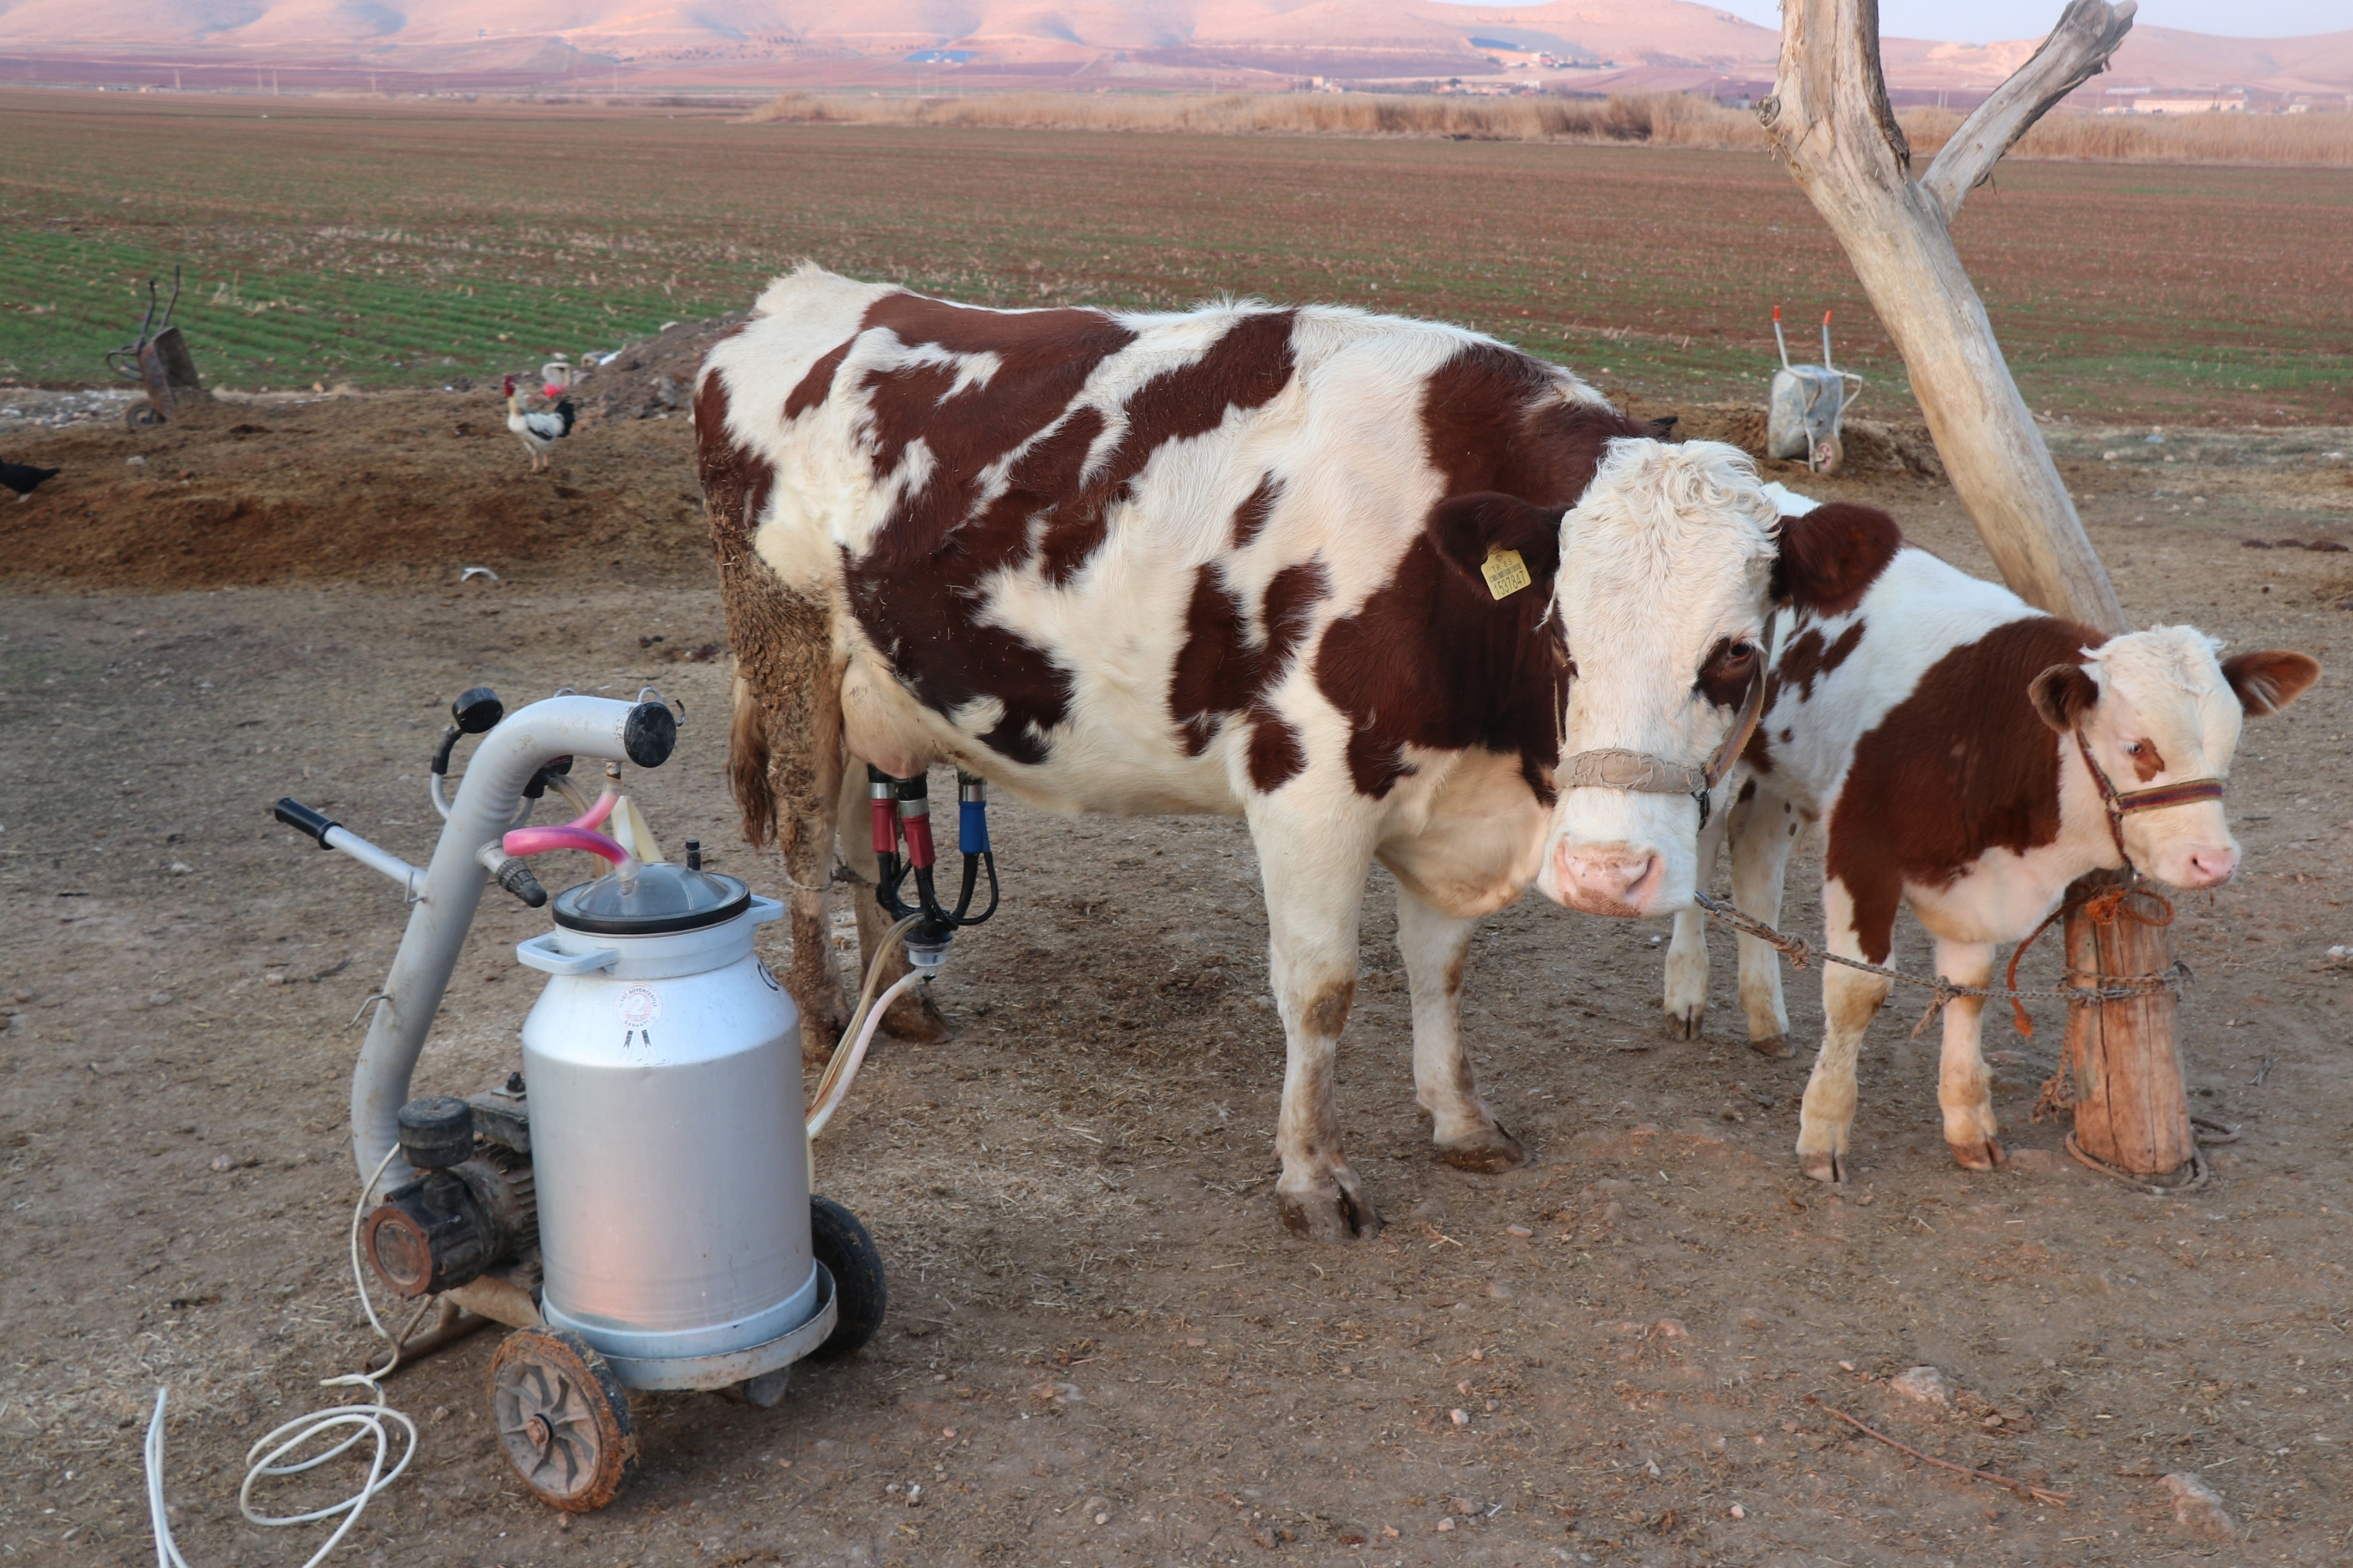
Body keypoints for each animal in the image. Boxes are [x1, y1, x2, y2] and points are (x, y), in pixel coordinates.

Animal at [692, 263, 1891, 1241]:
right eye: (1563, 635)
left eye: (1735, 651)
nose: (1610, 873)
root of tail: (794, 299)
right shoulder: (1307, 789)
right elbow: (1321, 988)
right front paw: (1314, 1175)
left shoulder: (1453, 802)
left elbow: (1440, 967)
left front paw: (1459, 1117)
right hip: (782, 635)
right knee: (803, 829)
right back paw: (819, 1019)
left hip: (866, 674)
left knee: (861, 834)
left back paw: (896, 998)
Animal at [1656, 496, 2315, 1184]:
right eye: (2136, 746)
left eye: (2230, 742)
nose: (2214, 861)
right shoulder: (1860, 849)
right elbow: (1858, 990)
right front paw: (1824, 1131)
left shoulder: (1974, 886)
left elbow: (1968, 990)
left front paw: (1969, 1124)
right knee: (1700, 850)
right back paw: (1686, 994)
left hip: (1783, 773)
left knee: (1754, 848)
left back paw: (1764, 1017)